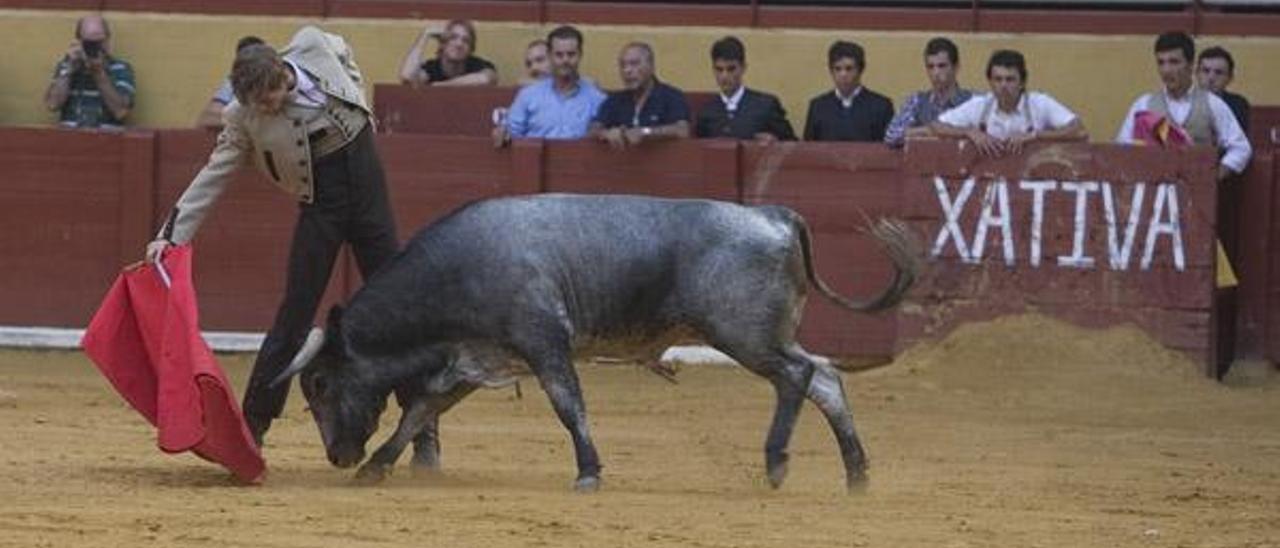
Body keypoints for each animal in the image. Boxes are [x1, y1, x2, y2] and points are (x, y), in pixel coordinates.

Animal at [277, 193, 921, 491]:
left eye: (320, 382)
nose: (337, 455)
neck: (460, 270)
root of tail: (775, 214)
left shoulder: (545, 346)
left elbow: (570, 407)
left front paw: (588, 472)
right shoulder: (469, 362)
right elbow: (418, 413)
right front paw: (376, 468)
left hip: (744, 335)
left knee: (797, 377)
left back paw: (777, 462)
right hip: (768, 333)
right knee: (826, 377)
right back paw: (857, 475)